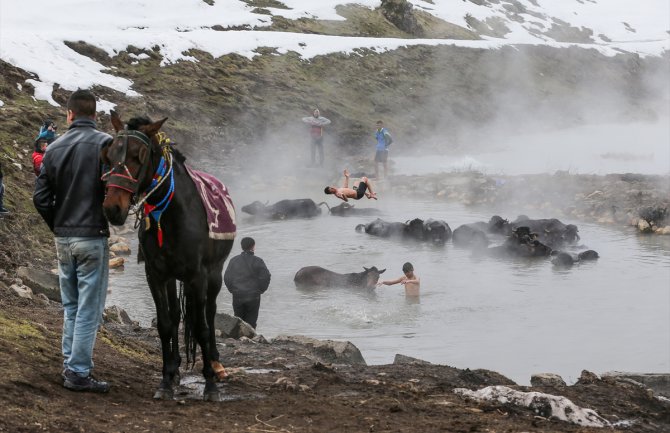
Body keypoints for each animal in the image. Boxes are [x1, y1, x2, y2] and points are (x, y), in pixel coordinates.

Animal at [101, 110, 235, 398]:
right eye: (110, 154)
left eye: (138, 155)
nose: (112, 209)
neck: (171, 214)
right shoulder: (156, 273)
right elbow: (165, 323)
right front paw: (165, 380)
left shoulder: (198, 276)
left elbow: (202, 328)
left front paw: (209, 385)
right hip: (174, 276)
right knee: (175, 316)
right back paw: (175, 371)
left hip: (215, 273)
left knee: (209, 313)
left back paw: (215, 364)